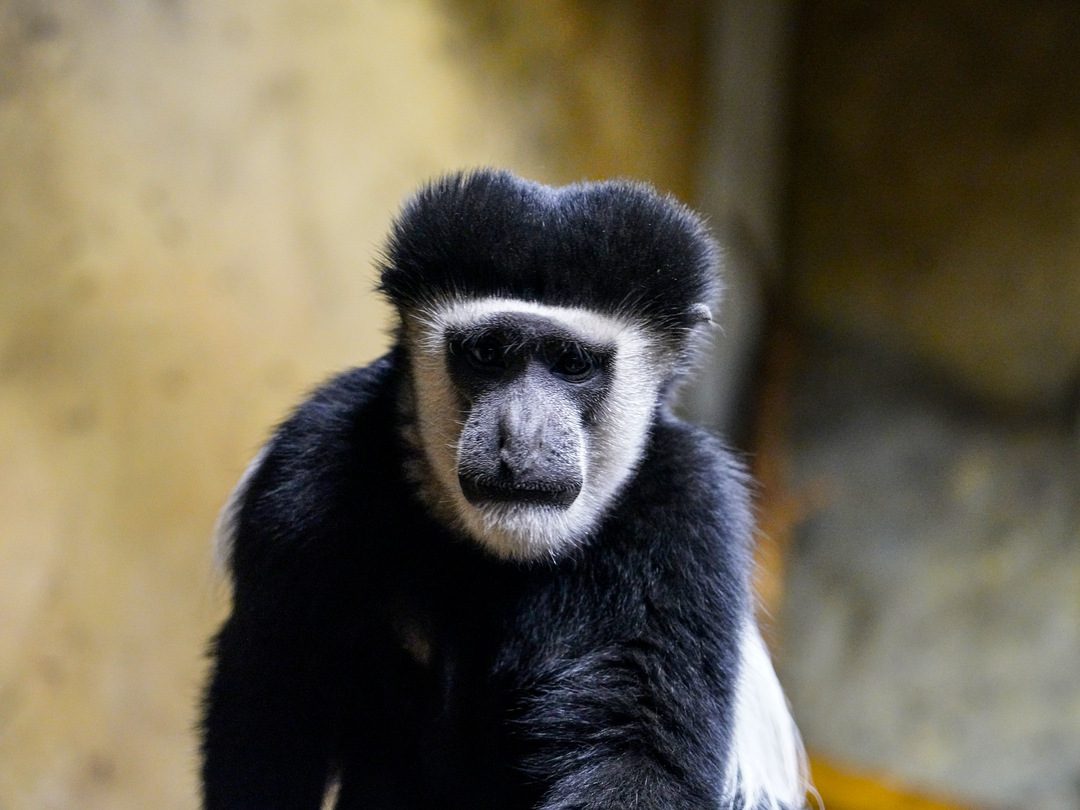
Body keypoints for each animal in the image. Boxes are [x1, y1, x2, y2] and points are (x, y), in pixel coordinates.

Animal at [201, 169, 809, 809]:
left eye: (571, 362)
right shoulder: (304, 474)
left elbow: (639, 749)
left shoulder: (687, 515)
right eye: (488, 353)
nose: (521, 438)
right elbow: (274, 707)